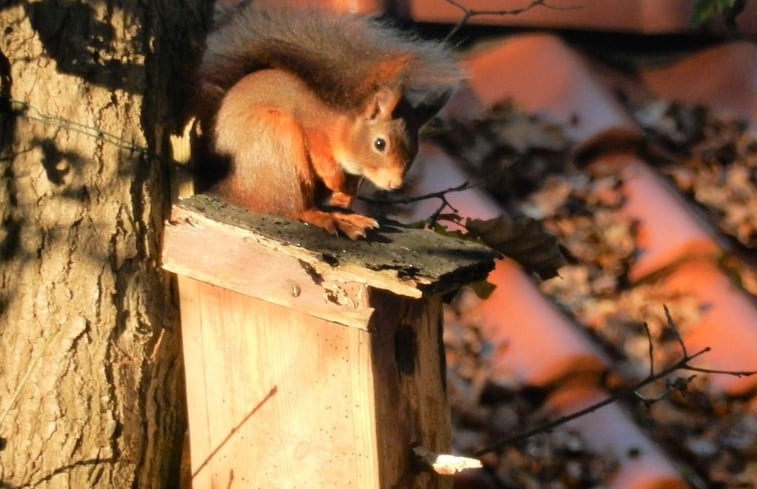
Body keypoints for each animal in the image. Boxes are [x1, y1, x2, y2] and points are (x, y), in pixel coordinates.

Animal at [195, 0, 460, 239]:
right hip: (276, 146)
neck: (343, 126)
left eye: (415, 150)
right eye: (380, 144)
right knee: (294, 209)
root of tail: (228, 187)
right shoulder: (312, 127)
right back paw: (330, 219)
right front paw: (337, 184)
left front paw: (346, 195)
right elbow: (322, 158)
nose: (394, 185)